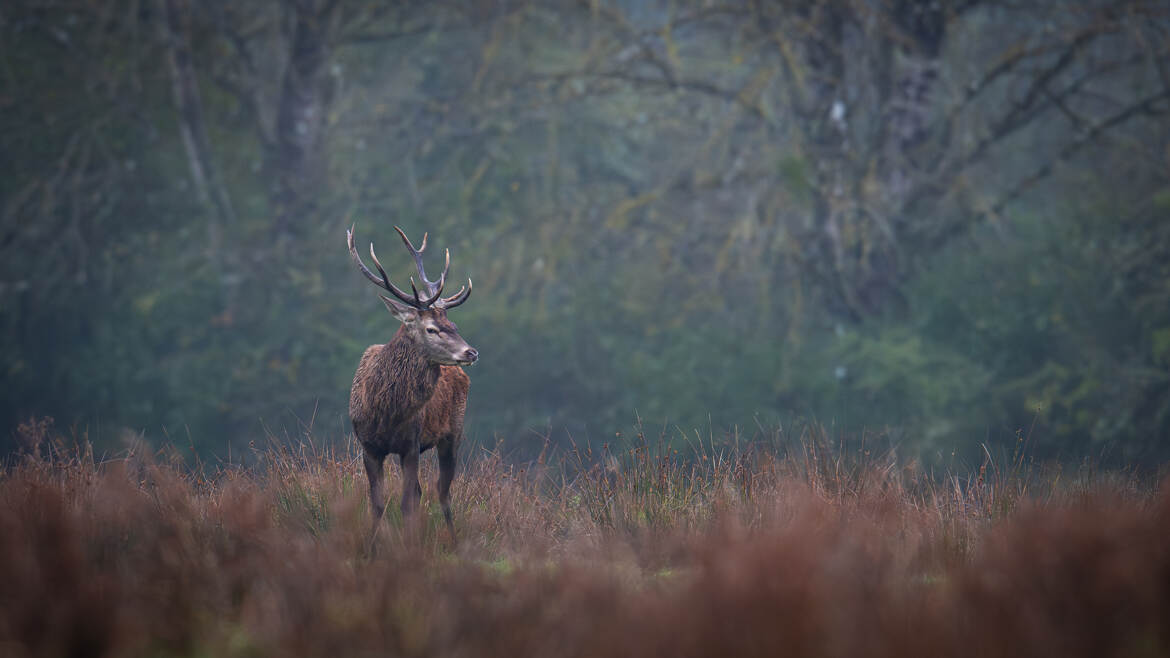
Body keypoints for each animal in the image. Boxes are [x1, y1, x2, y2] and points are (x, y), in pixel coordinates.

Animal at [346, 223, 475, 543]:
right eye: (431, 328)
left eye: (454, 325)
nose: (471, 352)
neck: (385, 411)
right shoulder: (368, 446)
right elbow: (378, 504)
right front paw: (371, 547)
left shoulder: (411, 443)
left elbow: (405, 503)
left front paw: (410, 547)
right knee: (422, 492)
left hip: (453, 432)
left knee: (442, 493)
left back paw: (454, 542)